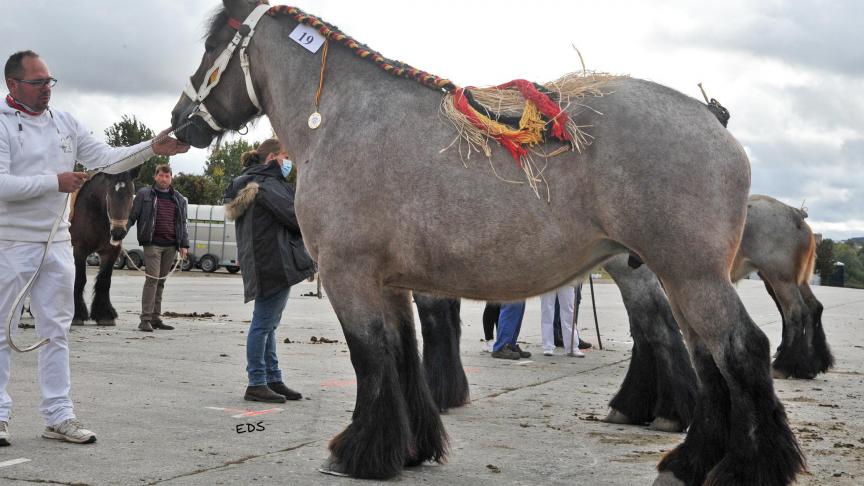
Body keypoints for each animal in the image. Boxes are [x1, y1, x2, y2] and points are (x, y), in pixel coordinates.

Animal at [69, 169, 138, 324]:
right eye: (108, 195)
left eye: (131, 195)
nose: (118, 233)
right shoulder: (78, 251)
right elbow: (79, 279)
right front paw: (77, 314)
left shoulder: (110, 252)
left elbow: (104, 281)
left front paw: (104, 314)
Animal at [169, 2, 804, 482]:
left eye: (212, 44)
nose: (181, 120)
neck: (343, 120)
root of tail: (711, 118)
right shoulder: (390, 284)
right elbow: (403, 356)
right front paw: (410, 449)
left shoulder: (351, 278)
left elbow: (370, 359)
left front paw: (360, 454)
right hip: (678, 276)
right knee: (706, 356)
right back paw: (689, 460)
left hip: (690, 274)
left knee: (740, 349)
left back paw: (746, 467)